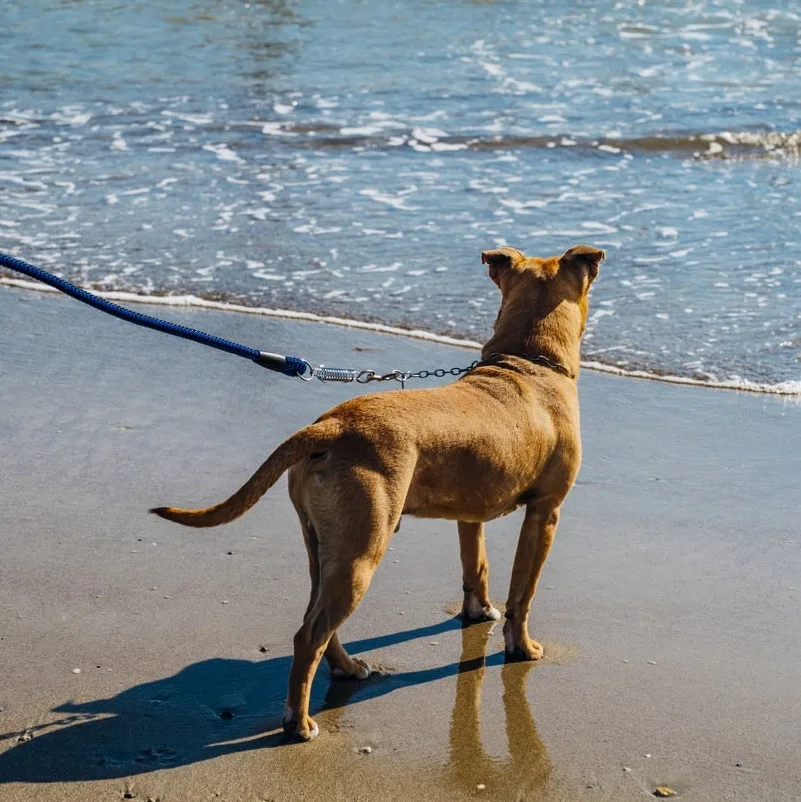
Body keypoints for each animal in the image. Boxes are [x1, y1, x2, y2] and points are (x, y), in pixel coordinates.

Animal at [150, 244, 604, 736]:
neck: (528, 361)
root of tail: (329, 427)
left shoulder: (470, 514)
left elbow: (477, 566)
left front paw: (480, 611)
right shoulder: (545, 513)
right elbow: (524, 592)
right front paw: (521, 647)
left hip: (325, 546)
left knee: (316, 621)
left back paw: (347, 669)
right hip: (362, 551)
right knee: (309, 634)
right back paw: (300, 722)